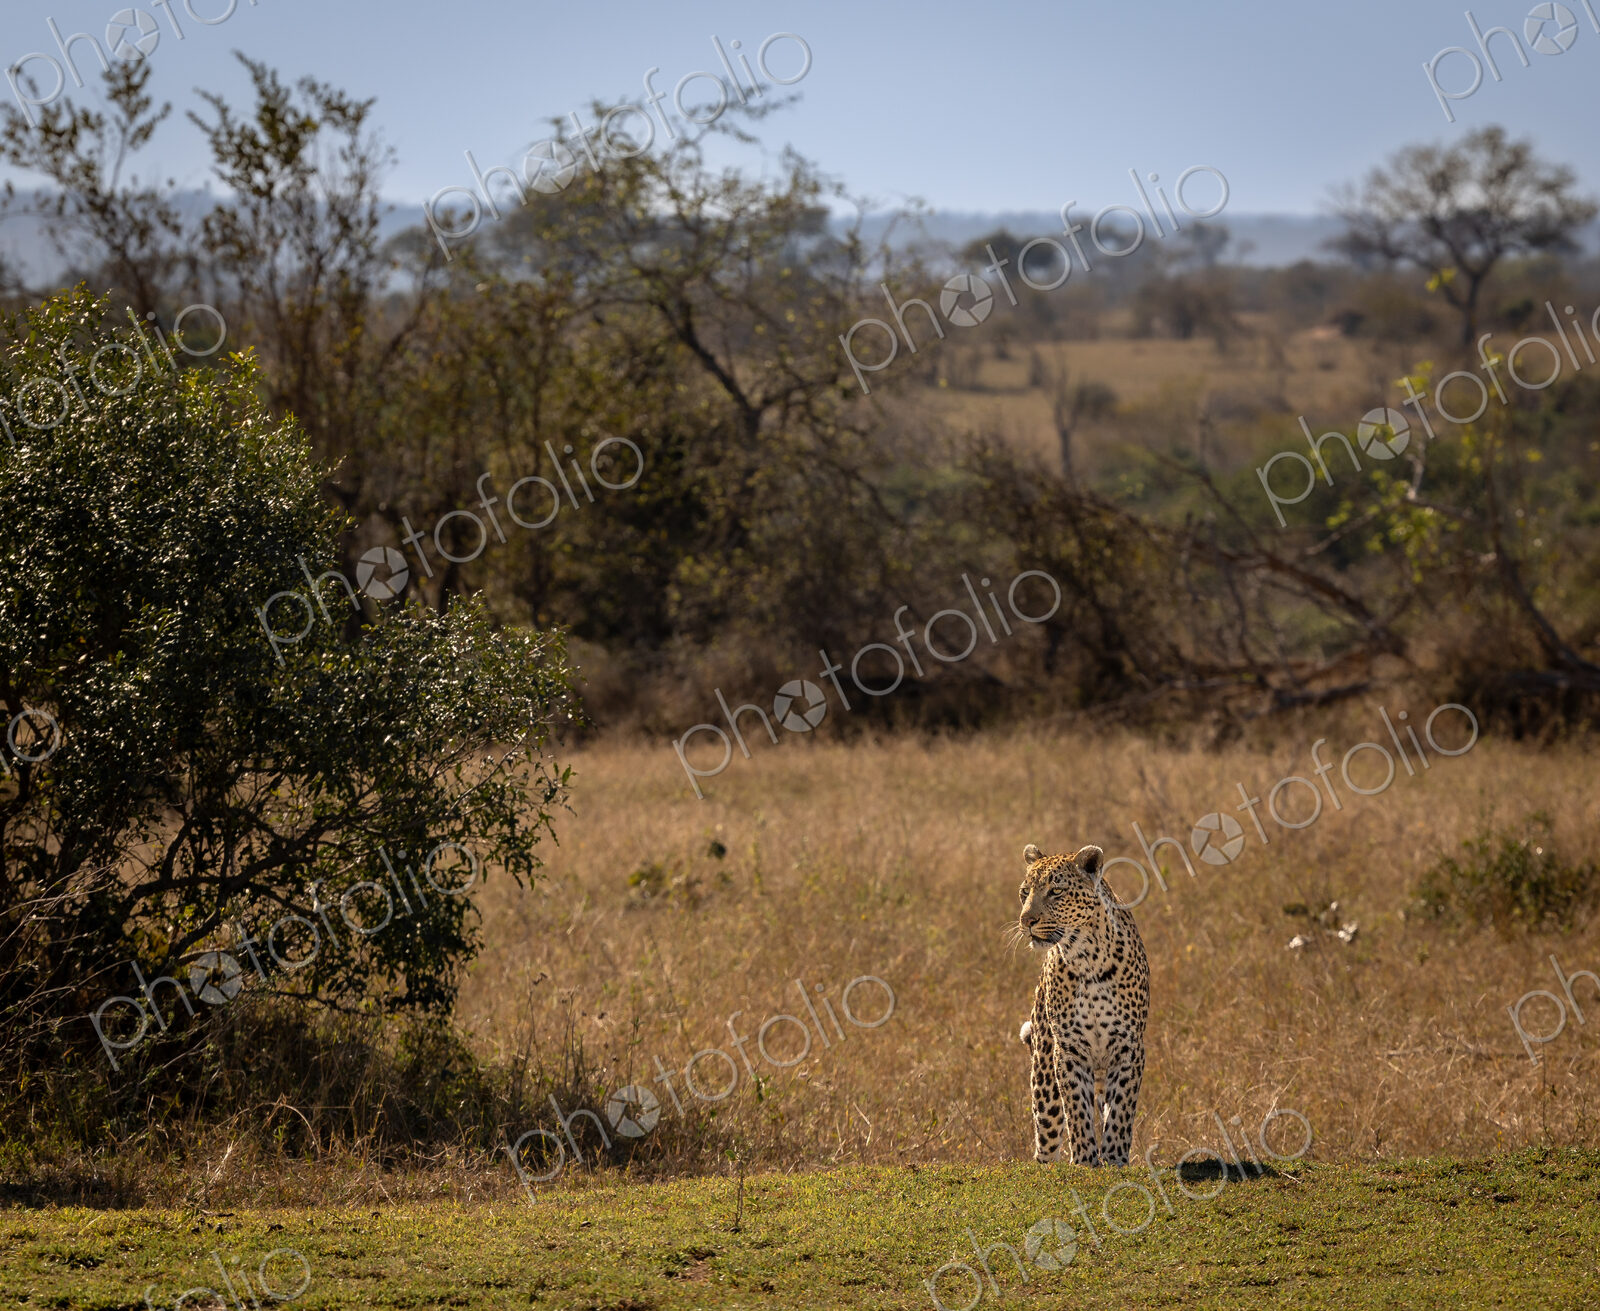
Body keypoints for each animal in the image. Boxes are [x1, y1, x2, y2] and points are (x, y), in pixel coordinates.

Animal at [1013, 842, 1149, 1167]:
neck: (1088, 959)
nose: (1026, 921)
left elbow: (1121, 1110)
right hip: (1043, 1075)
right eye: (1025, 892)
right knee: (1048, 1134)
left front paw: (1114, 1158)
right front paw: (1085, 1159)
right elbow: (1076, 1108)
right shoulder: (1068, 1050)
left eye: (1056, 891)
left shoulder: (1129, 1046)